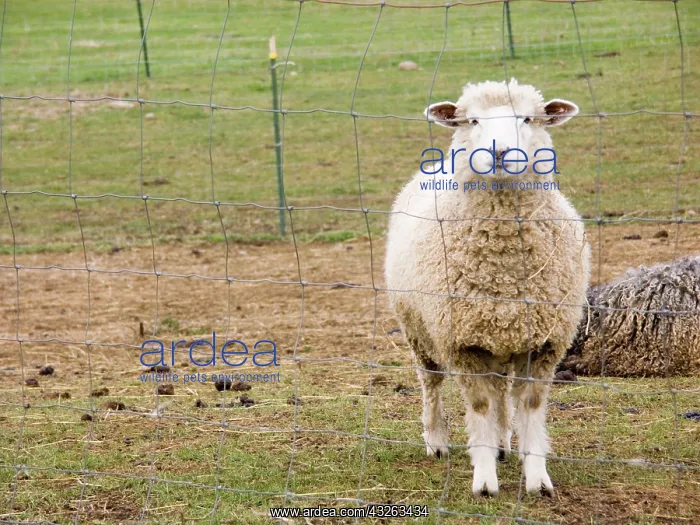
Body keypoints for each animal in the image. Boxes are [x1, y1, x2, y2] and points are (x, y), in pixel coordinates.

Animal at [384, 79, 590, 497]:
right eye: (473, 120)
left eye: (528, 118)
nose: (497, 152)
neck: (505, 268)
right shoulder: (462, 343)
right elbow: (478, 407)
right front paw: (484, 480)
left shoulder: (544, 344)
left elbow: (530, 407)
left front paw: (537, 477)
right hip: (419, 330)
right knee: (432, 383)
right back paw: (437, 440)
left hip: (500, 340)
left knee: (500, 393)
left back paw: (502, 443)